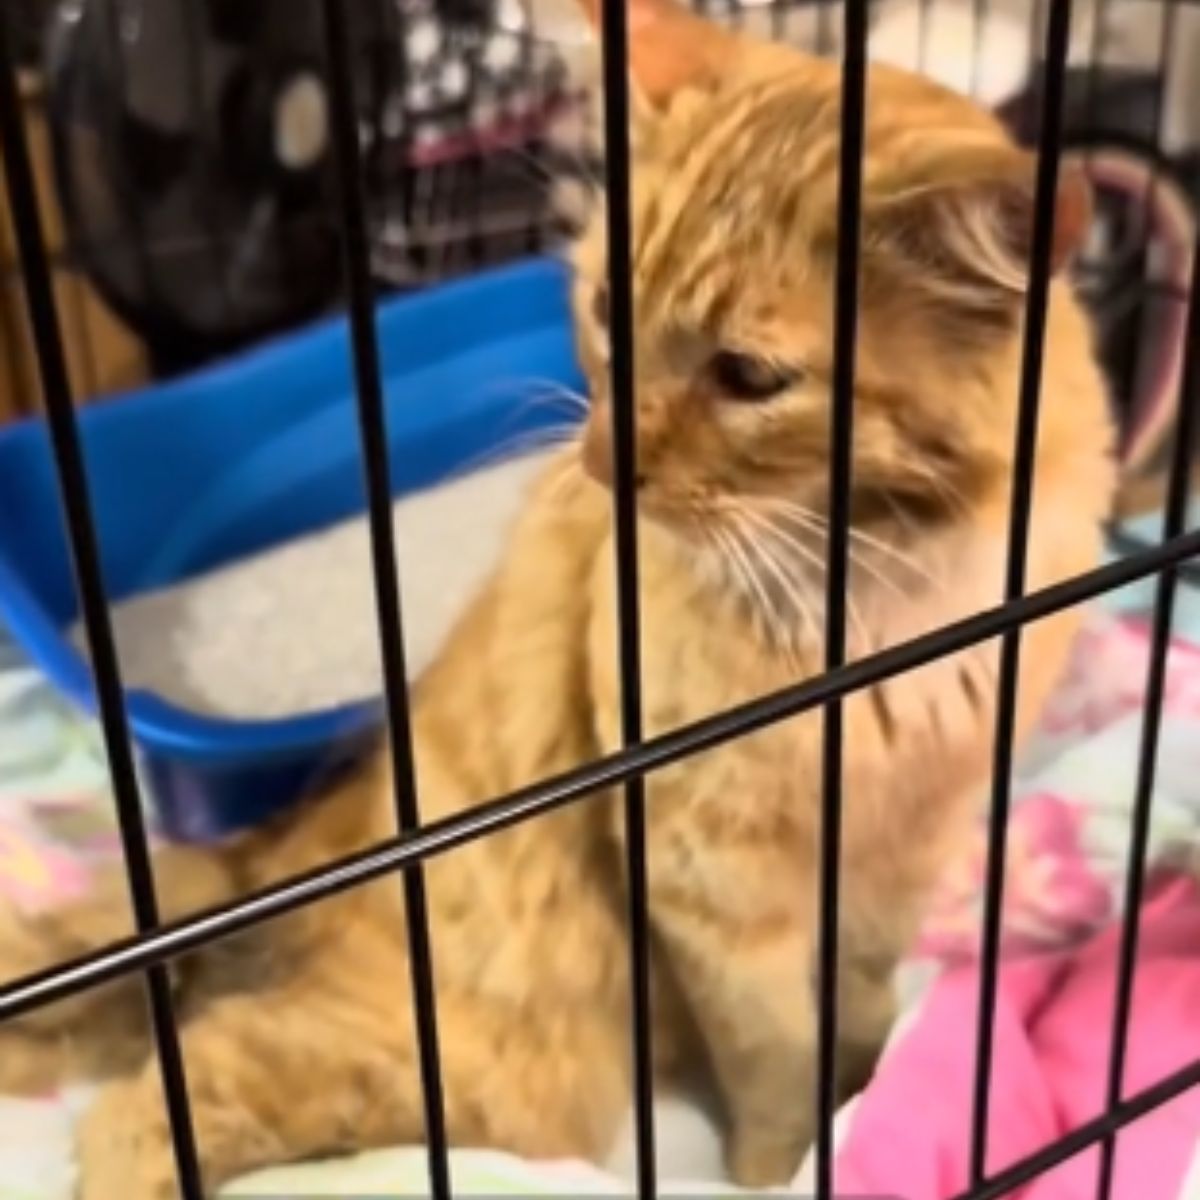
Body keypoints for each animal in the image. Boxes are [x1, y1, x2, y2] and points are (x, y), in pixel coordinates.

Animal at [0, 0, 1113, 1195]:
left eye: (749, 378)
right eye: (610, 308)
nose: (598, 463)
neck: (877, 598)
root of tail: (283, 851)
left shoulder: (907, 850)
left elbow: (858, 1005)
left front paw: (868, 1081)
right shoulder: (713, 882)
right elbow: (774, 1052)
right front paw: (789, 1162)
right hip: (476, 1067)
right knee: (155, 1103)